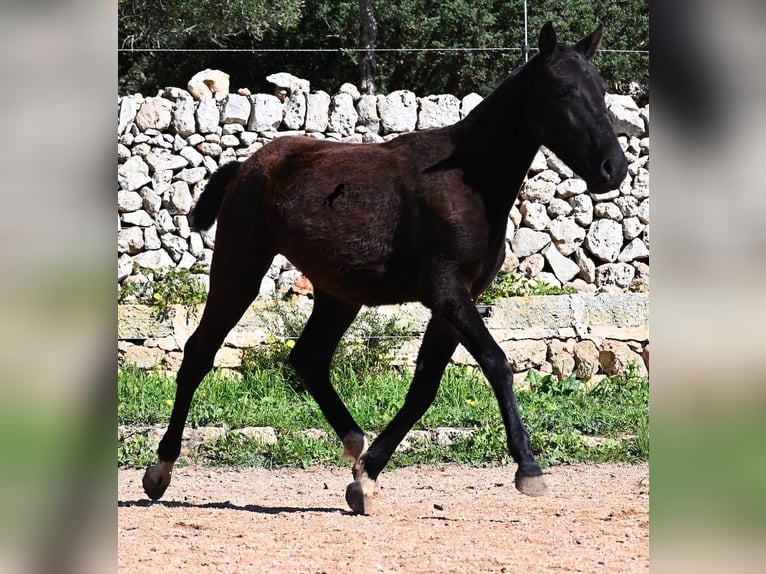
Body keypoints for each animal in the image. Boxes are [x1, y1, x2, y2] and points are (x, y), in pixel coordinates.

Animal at [144, 23, 632, 516]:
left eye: (601, 87)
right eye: (564, 90)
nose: (614, 168)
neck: (468, 180)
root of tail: (247, 167)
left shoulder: (455, 303)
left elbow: (424, 388)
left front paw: (366, 479)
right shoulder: (447, 293)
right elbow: (497, 363)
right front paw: (528, 469)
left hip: (338, 295)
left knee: (308, 358)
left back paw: (353, 441)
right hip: (240, 269)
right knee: (200, 354)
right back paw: (159, 471)